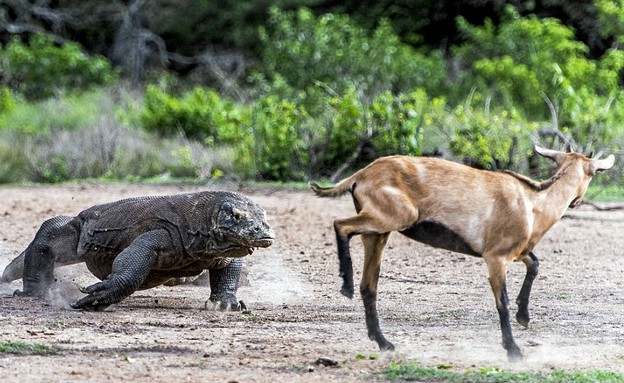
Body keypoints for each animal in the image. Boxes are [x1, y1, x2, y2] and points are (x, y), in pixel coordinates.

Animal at [310, 146, 616, 362]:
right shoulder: (495, 257)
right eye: (593, 173)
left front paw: (524, 316)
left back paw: (383, 341)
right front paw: (513, 350)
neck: (532, 204)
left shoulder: (517, 252)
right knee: (341, 225)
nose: (576, 202)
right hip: (394, 217)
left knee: (369, 285)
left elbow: (535, 264)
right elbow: (502, 302)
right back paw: (346, 286)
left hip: (379, 233)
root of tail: (360, 175)